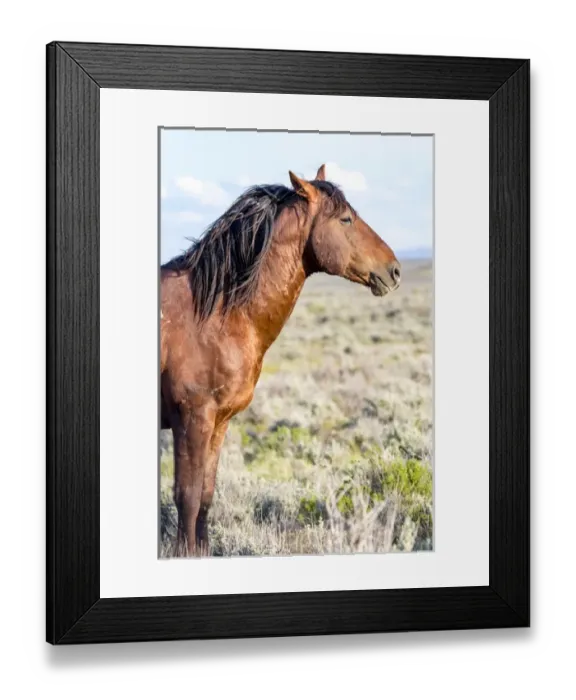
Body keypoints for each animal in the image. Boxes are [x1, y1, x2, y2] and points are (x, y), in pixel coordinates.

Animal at [160, 164, 401, 556]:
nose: (394, 271)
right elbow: (188, 497)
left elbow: (205, 498)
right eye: (346, 218)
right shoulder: (192, 419)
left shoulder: (218, 423)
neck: (213, 312)